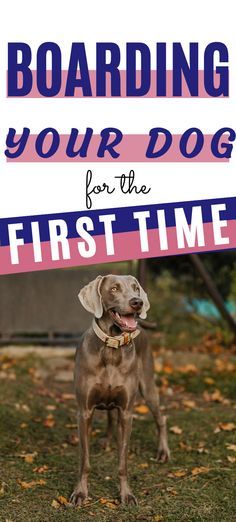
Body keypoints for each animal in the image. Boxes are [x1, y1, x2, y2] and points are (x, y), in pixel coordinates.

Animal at [70, 272, 170, 504]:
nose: (137, 302)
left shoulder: (127, 412)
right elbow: (85, 461)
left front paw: (126, 494)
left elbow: (123, 462)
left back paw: (163, 452)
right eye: (114, 288)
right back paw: (108, 440)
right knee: (109, 416)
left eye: (135, 287)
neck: (111, 348)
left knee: (161, 417)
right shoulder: (84, 412)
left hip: (147, 386)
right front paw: (80, 493)